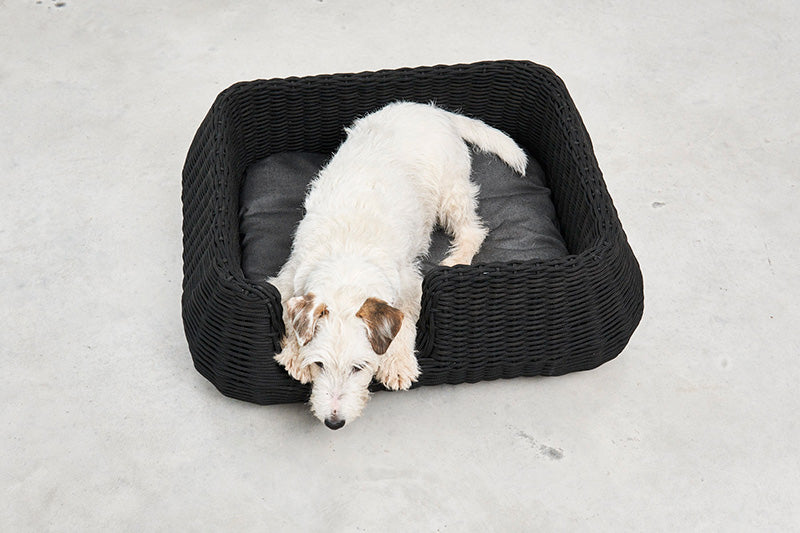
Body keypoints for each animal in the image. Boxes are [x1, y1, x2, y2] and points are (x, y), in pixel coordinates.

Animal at [272, 103, 528, 428]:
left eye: (359, 367)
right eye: (319, 364)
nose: (334, 422)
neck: (349, 253)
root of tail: (434, 110)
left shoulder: (409, 285)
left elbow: (404, 320)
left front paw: (397, 363)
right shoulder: (290, 274)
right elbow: (286, 307)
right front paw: (294, 352)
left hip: (451, 192)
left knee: (473, 230)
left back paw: (457, 258)